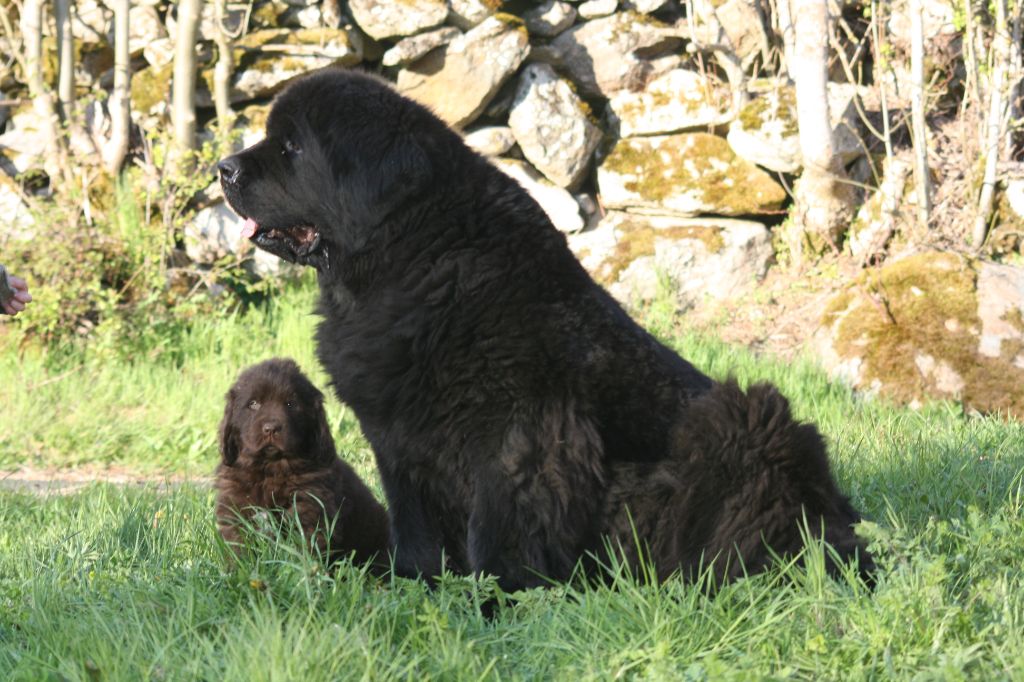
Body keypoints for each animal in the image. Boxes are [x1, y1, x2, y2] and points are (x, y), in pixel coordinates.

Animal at [214, 356, 389, 569]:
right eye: (253, 404)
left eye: (290, 404)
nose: (271, 428)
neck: (270, 468)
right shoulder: (235, 509)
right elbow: (239, 547)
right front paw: (238, 570)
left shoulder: (308, 509)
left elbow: (301, 550)